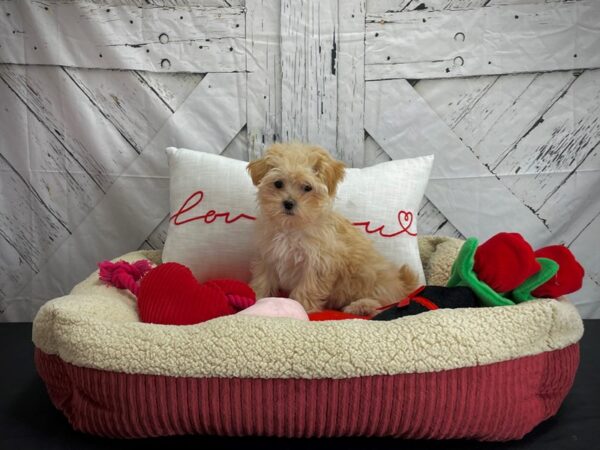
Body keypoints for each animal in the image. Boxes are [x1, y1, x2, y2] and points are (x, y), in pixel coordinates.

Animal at [246, 142, 420, 314]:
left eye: (307, 187)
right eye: (278, 184)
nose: (288, 203)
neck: (292, 227)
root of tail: (402, 284)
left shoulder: (318, 264)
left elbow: (307, 289)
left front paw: (302, 307)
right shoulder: (268, 256)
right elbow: (263, 280)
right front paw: (258, 298)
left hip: (372, 278)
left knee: (384, 301)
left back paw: (362, 307)